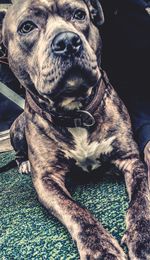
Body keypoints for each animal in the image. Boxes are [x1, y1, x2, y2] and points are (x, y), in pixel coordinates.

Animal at [1, 0, 149, 260]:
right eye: (27, 27)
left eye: (79, 14)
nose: (68, 41)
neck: (76, 113)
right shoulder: (47, 180)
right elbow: (76, 211)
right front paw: (101, 248)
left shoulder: (131, 160)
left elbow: (141, 199)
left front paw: (143, 236)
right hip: (16, 129)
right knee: (19, 150)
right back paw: (24, 163)